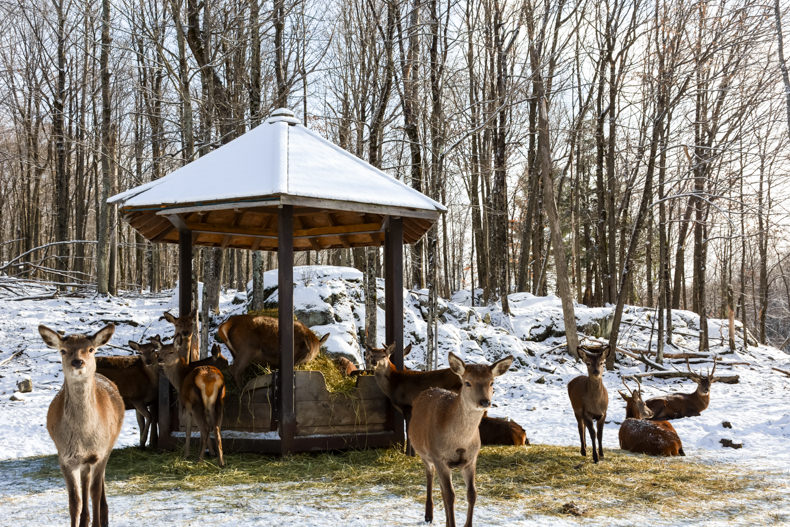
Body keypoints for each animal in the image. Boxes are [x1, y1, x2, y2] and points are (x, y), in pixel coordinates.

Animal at [39, 322, 125, 527]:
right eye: (63, 350)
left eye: (91, 349)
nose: (78, 362)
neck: (82, 437)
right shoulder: (64, 457)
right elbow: (74, 501)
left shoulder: (99, 453)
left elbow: (94, 493)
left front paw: (97, 522)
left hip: (108, 446)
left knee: (98, 485)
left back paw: (103, 517)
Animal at [156, 336, 226, 468]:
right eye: (158, 352)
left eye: (171, 352)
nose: (159, 359)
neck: (179, 379)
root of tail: (211, 378)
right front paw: (212, 452)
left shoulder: (186, 405)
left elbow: (188, 431)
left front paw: (186, 454)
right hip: (219, 401)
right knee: (216, 428)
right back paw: (221, 462)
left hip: (196, 403)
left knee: (205, 428)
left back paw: (199, 460)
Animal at [408, 352, 512, 527]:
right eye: (467, 382)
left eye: (492, 382)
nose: (485, 401)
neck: (459, 442)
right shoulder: (439, 457)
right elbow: (451, 495)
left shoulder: (471, 459)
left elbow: (472, 494)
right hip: (425, 454)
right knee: (430, 477)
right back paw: (429, 515)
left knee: (442, 488)